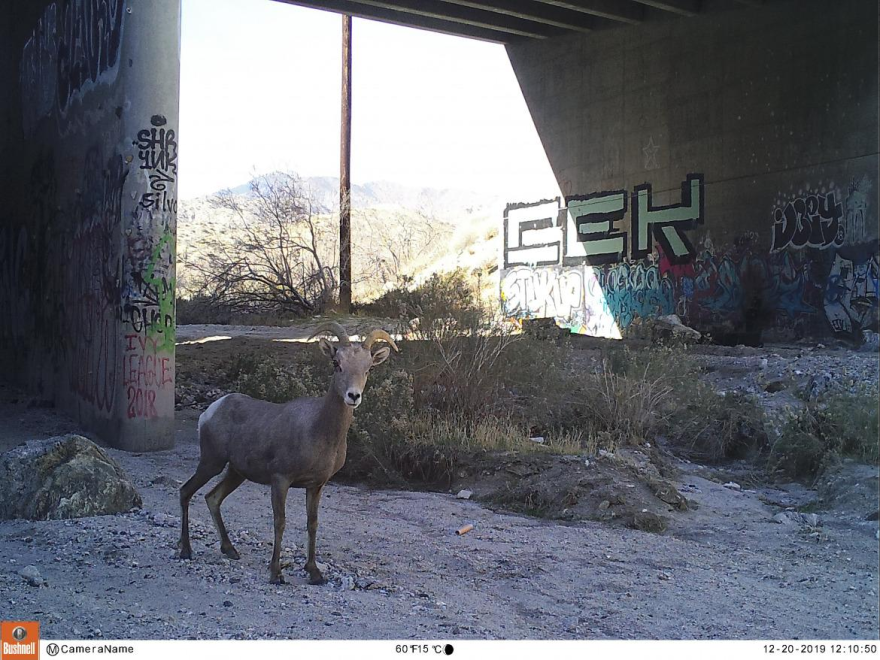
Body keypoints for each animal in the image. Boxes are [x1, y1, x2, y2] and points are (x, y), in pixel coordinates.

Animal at [177, 322, 398, 585]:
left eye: (368, 368)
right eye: (336, 363)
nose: (353, 396)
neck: (319, 431)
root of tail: (211, 410)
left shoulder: (316, 485)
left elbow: (312, 524)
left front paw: (314, 573)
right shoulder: (281, 480)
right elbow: (280, 522)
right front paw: (276, 573)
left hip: (235, 473)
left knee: (212, 498)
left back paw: (230, 550)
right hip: (211, 463)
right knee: (185, 492)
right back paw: (185, 551)